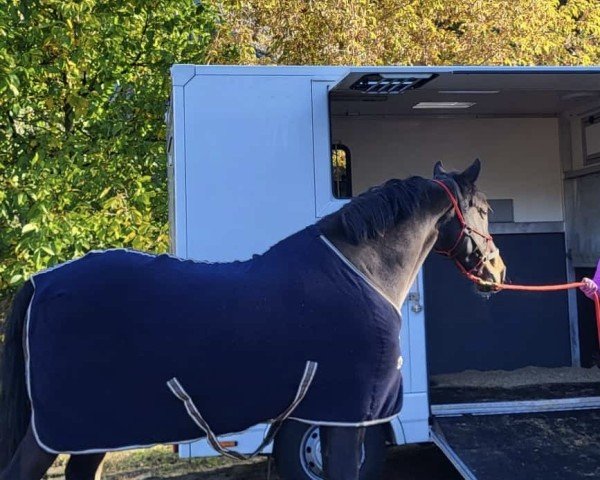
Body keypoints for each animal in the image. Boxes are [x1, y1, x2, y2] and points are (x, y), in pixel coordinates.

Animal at [0, 160, 506, 480]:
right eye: (484, 210)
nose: (498, 272)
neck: (362, 270)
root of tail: (41, 281)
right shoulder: (349, 415)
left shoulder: (330, 414)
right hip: (58, 430)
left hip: (95, 429)